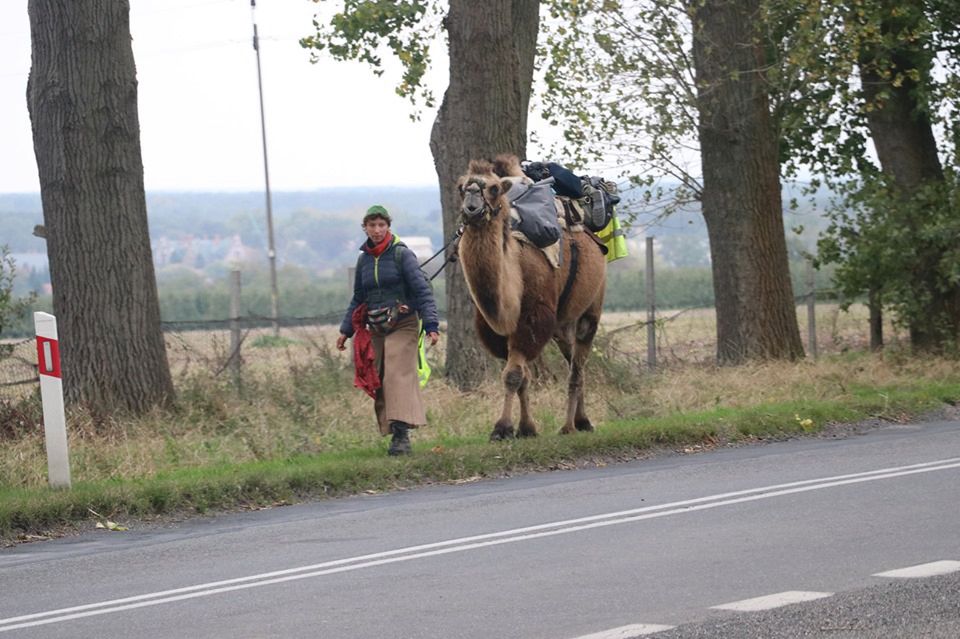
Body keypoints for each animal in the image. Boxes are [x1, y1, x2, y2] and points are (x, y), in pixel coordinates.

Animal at [458, 154, 608, 440]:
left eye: (493, 188)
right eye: (461, 187)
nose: (471, 206)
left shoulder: (531, 319)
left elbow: (513, 375)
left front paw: (502, 428)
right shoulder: (500, 331)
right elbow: (522, 377)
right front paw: (527, 428)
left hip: (592, 307)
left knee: (577, 366)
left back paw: (571, 425)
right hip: (561, 324)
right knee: (572, 359)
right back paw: (581, 420)